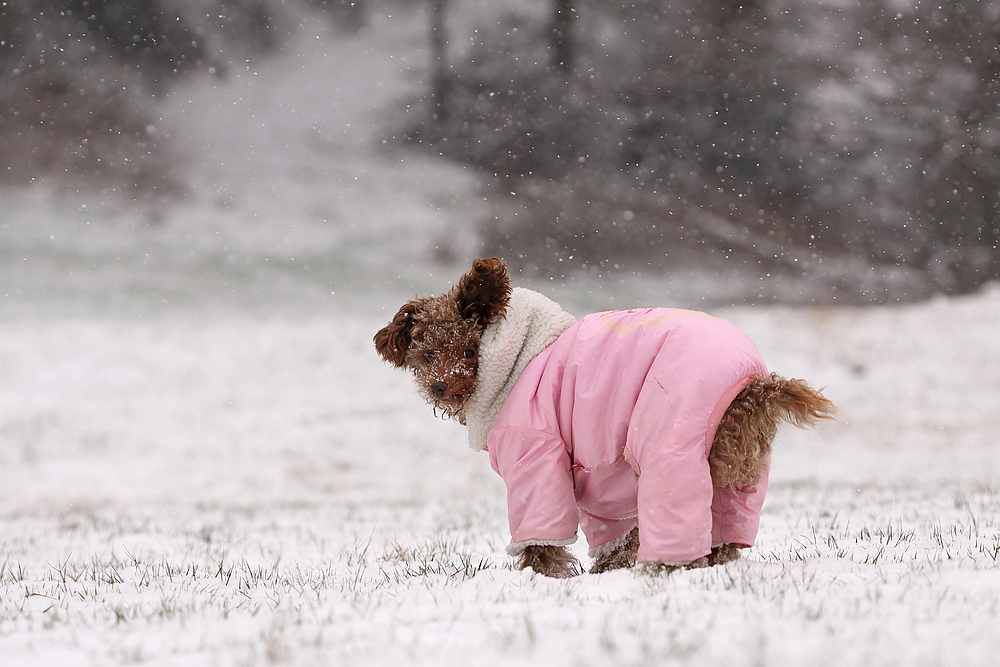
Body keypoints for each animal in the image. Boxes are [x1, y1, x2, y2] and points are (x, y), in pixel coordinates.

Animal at [376, 258, 836, 576]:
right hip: (737, 466)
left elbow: (540, 532)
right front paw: (602, 569)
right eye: (427, 355)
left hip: (671, 441)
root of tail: (757, 385)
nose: (440, 387)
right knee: (725, 528)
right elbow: (610, 531)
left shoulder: (536, 452)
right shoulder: (594, 471)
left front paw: (544, 576)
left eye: (469, 351)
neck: (513, 361)